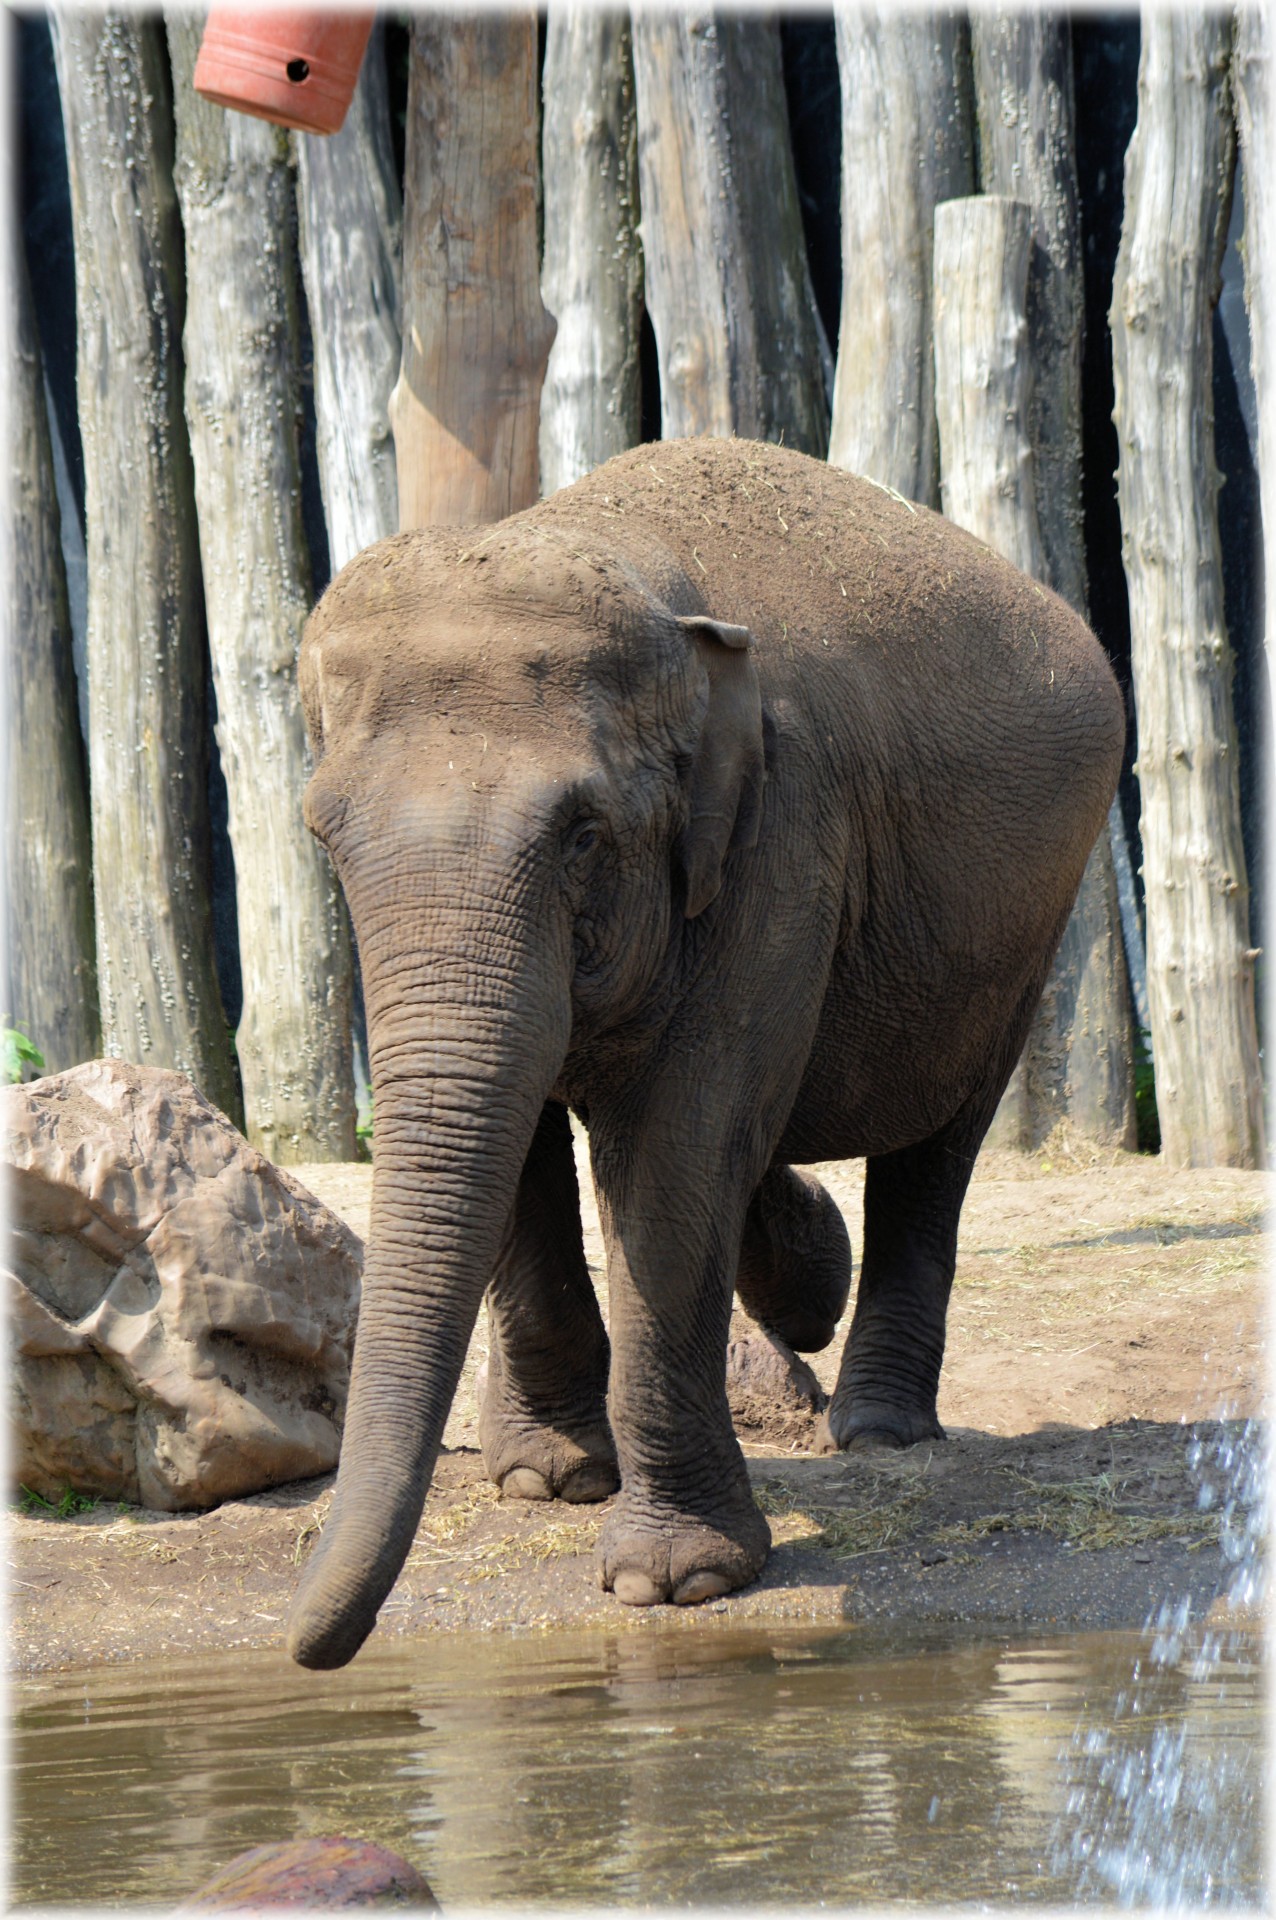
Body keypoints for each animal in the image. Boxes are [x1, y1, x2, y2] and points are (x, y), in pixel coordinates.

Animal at [283, 435, 1120, 1666]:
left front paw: (676, 1583)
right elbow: (524, 1136)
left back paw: (880, 1431)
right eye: (322, 834)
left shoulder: (783, 833)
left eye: (584, 835)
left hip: (1028, 921)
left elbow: (676, 1155)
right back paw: (805, 1271)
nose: (308, 1650)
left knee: (938, 1143)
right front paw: (545, 1482)